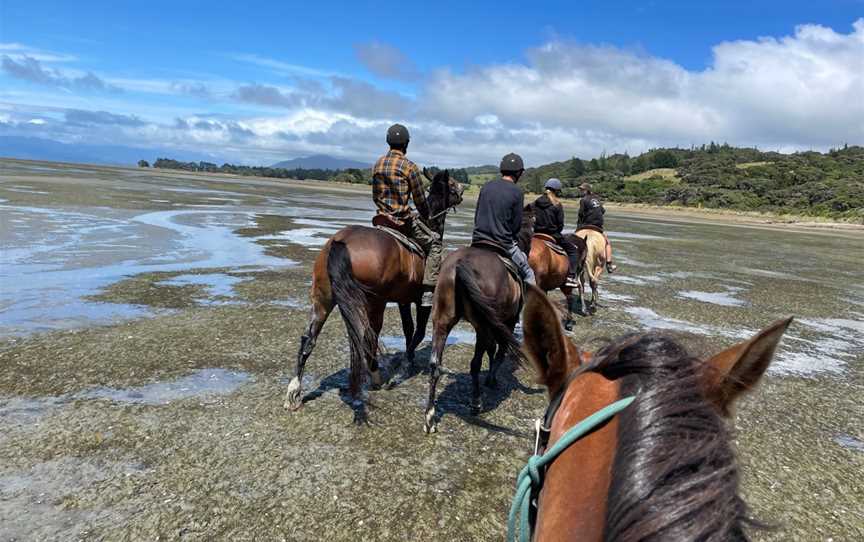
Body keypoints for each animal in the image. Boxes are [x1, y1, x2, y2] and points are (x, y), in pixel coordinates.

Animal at [284, 171, 462, 420]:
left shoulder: (403, 300)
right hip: (375, 303)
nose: (462, 190)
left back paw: (294, 391)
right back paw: (377, 377)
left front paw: (407, 360)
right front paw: (406, 363)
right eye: (452, 185)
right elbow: (417, 332)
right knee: (369, 336)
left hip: (323, 299)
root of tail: (340, 241)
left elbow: (408, 330)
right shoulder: (421, 299)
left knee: (308, 339)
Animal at [424, 244, 524, 436]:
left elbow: (493, 349)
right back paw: (476, 402)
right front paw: (491, 379)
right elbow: (499, 352)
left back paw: (429, 417)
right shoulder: (507, 322)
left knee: (434, 364)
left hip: (441, 320)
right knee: (476, 363)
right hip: (484, 325)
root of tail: (460, 264)